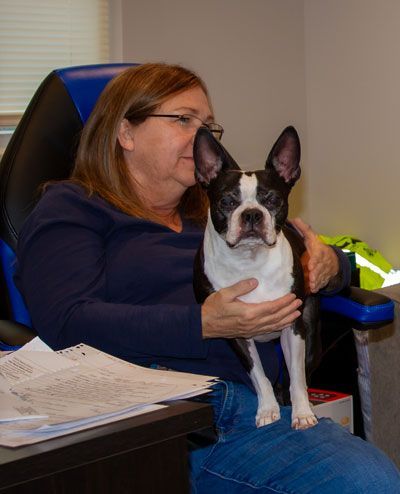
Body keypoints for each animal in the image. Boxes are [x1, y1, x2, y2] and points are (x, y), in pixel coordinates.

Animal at [192, 126, 320, 428]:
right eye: (227, 202)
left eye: (273, 200)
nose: (251, 214)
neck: (249, 261)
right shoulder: (233, 329)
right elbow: (258, 374)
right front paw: (267, 409)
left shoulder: (293, 325)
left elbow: (296, 375)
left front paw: (302, 413)